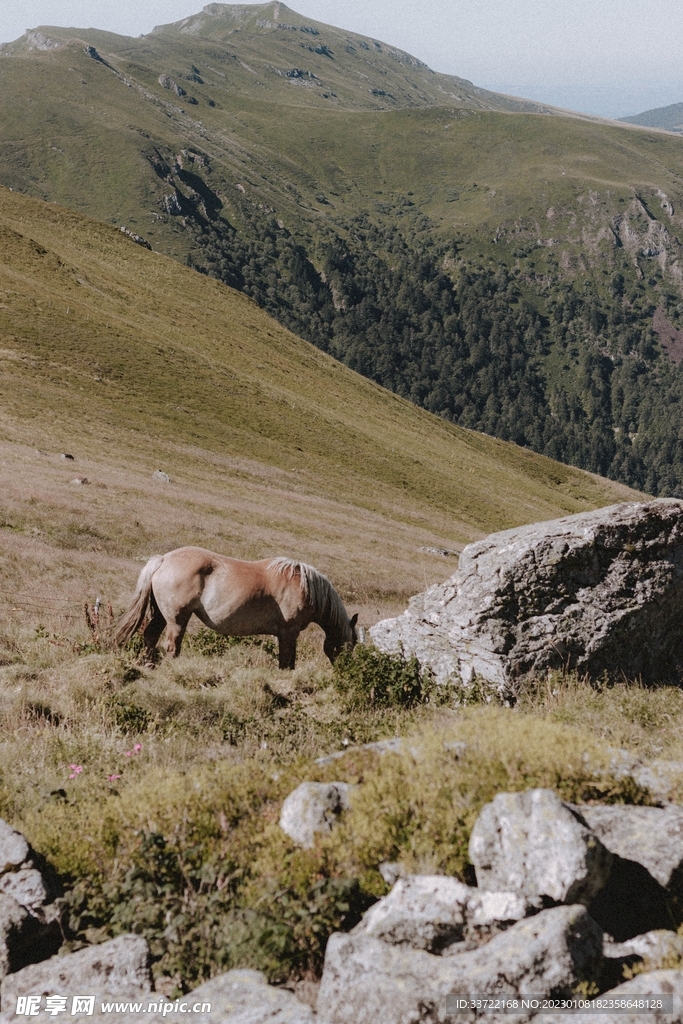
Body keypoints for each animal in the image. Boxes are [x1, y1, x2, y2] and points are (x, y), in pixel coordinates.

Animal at [112, 547, 358, 669]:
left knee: (150, 636)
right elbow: (287, 663)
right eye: (350, 645)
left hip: (162, 616)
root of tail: (163, 559)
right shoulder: (289, 633)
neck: (304, 586)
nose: (345, 670)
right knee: (172, 646)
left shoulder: (284, 635)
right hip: (177, 620)